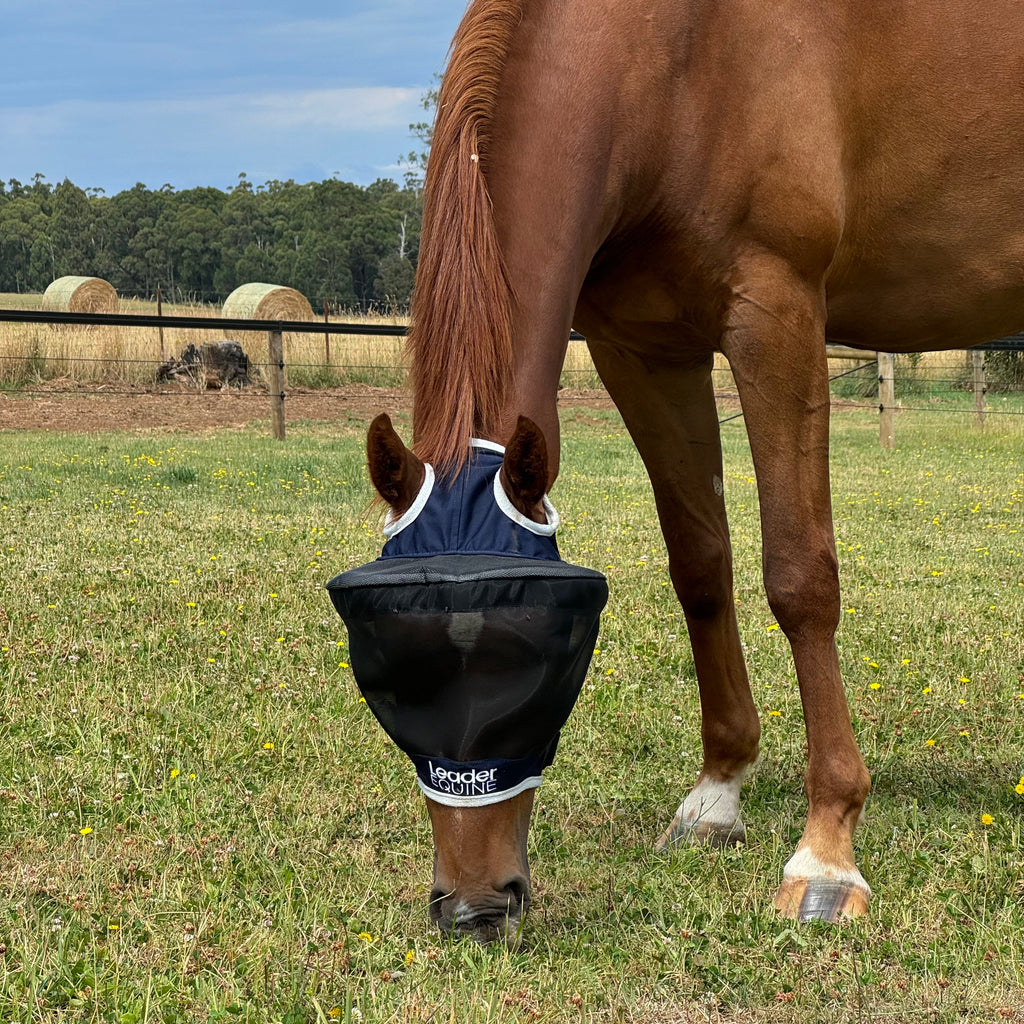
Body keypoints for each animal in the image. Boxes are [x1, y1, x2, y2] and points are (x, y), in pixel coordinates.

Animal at [363, 0, 1024, 939]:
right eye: (385, 671)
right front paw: (718, 794)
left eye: (539, 657)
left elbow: (798, 577)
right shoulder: (644, 351)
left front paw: (827, 851)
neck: (678, 59)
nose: (474, 906)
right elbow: (701, 566)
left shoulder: (776, 313)